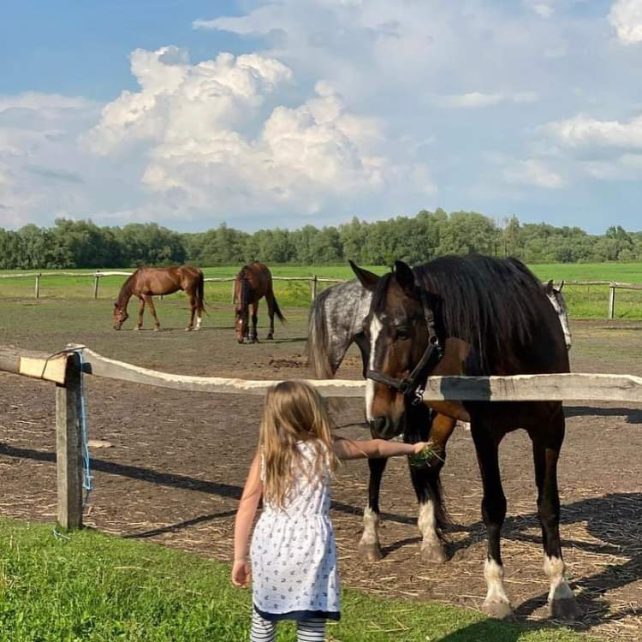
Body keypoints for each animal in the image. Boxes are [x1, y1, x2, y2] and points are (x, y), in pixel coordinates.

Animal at [348, 255, 576, 620]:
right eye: (364, 336)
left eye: (402, 331)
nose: (379, 417)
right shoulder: (485, 434)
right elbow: (493, 507)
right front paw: (497, 595)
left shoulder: (550, 430)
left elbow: (549, 505)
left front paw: (560, 588)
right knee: (378, 463)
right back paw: (371, 539)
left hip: (432, 412)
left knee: (425, 465)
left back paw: (431, 541)